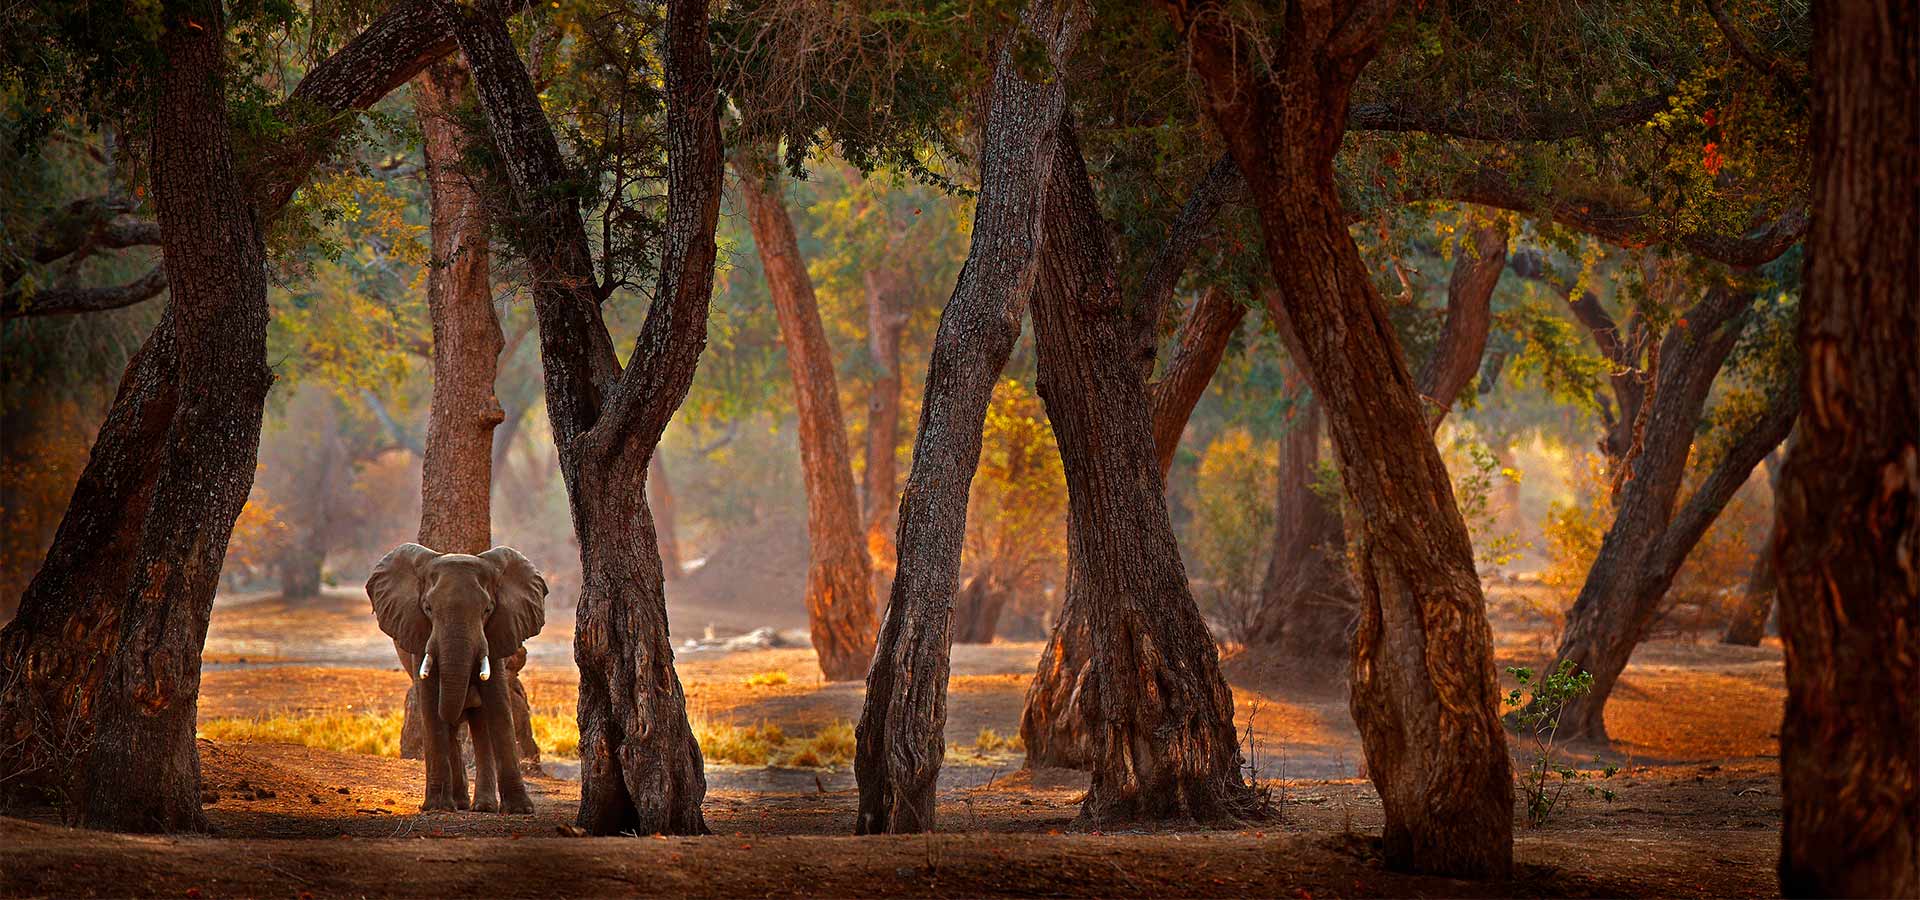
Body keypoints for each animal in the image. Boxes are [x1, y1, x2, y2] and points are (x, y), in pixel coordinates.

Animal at [367, 543, 547, 813]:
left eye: (487, 610)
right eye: (428, 609)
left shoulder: (497, 634)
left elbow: (498, 706)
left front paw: (520, 810)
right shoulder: (419, 635)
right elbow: (431, 706)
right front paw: (436, 807)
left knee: (480, 724)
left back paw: (482, 806)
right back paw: (459, 803)